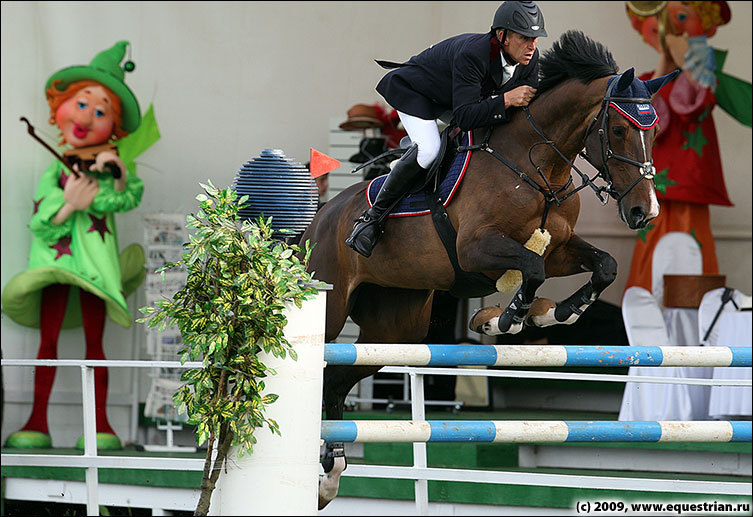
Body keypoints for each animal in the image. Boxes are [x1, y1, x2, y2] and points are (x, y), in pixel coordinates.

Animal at [302, 29, 680, 508]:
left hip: (395, 328)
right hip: (331, 305)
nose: (644, 212)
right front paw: (505, 319)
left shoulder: (560, 249)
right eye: (617, 129)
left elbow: (604, 266)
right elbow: (531, 269)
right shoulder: (475, 251)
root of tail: (318, 218)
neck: (536, 164)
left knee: (335, 381)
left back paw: (329, 476)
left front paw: (556, 313)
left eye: (655, 132)